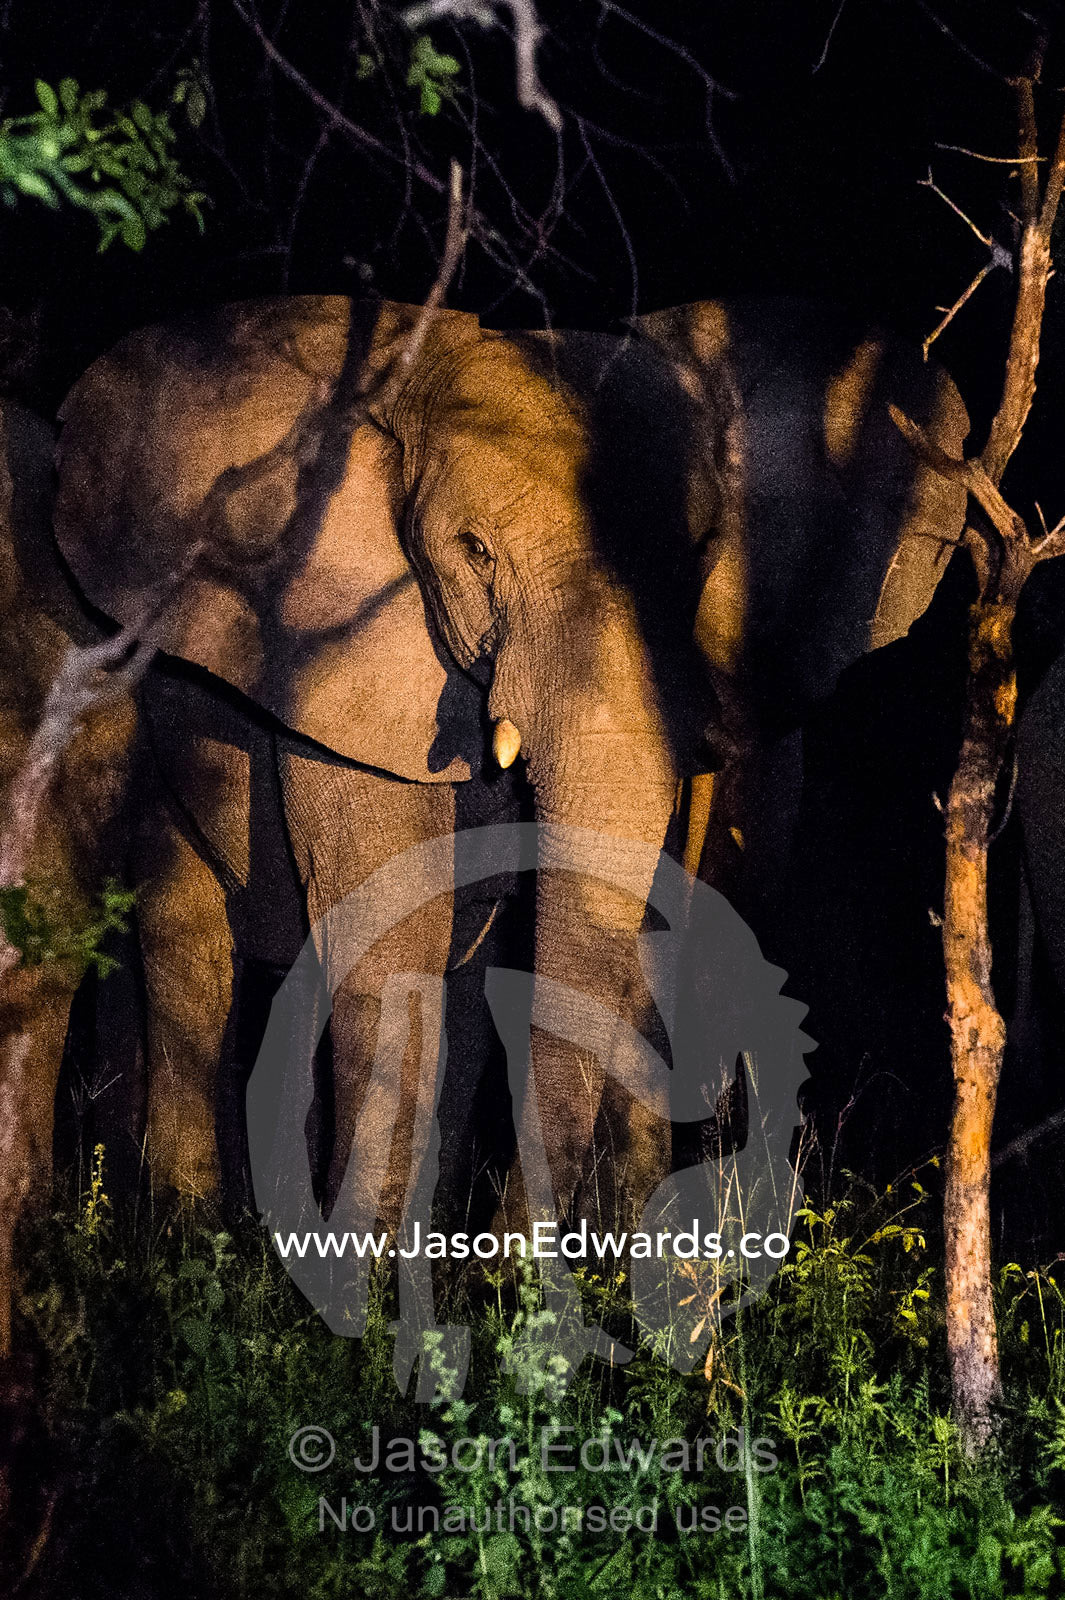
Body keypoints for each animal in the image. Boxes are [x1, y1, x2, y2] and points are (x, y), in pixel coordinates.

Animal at [47, 293, 971, 1250]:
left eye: (701, 557)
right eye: (475, 550)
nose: (516, 1258)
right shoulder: (340, 657)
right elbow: (389, 923)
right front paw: (362, 1280)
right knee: (187, 938)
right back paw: (193, 1237)